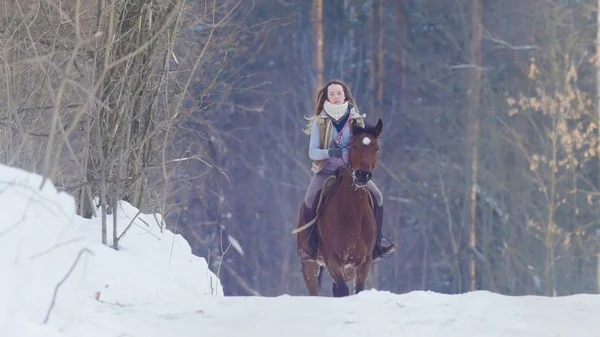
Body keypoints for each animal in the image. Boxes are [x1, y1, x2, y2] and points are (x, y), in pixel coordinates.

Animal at [294, 118, 384, 296]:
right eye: (353, 146)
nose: (363, 175)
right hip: (310, 265)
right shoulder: (333, 260)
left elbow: (357, 290)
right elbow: (342, 290)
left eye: (376, 148)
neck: (353, 216)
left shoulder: (363, 262)